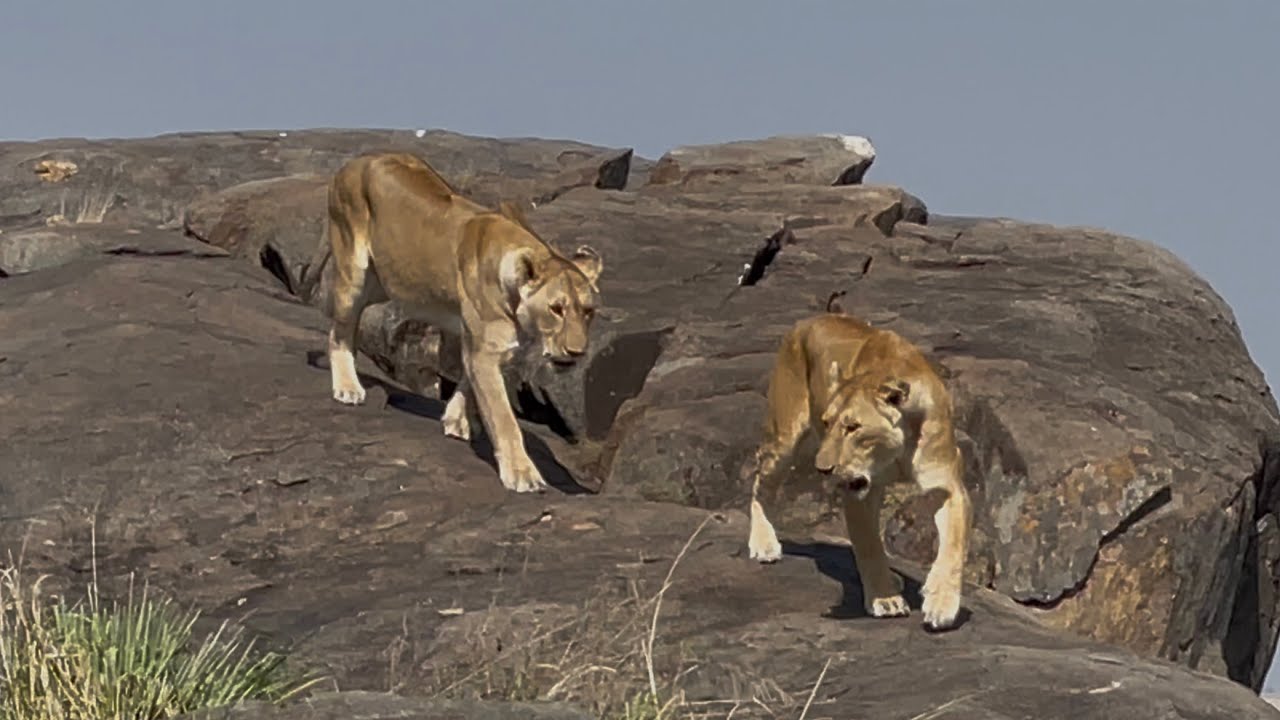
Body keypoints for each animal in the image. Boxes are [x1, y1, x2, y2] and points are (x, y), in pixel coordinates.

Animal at [298, 152, 603, 493]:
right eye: (556, 309)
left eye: (588, 311)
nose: (577, 352)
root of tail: (353, 162)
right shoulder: (486, 350)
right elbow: (504, 418)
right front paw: (522, 474)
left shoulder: (487, 345)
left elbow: (469, 382)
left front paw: (456, 420)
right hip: (353, 269)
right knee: (339, 329)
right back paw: (348, 387)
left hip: (385, 282)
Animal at [743, 312, 971, 630]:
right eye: (827, 422)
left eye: (853, 427)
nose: (822, 468)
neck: (897, 450)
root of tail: (811, 318)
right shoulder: (857, 491)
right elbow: (868, 545)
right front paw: (885, 600)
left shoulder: (947, 483)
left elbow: (953, 546)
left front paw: (941, 604)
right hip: (785, 438)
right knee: (760, 482)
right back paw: (763, 544)